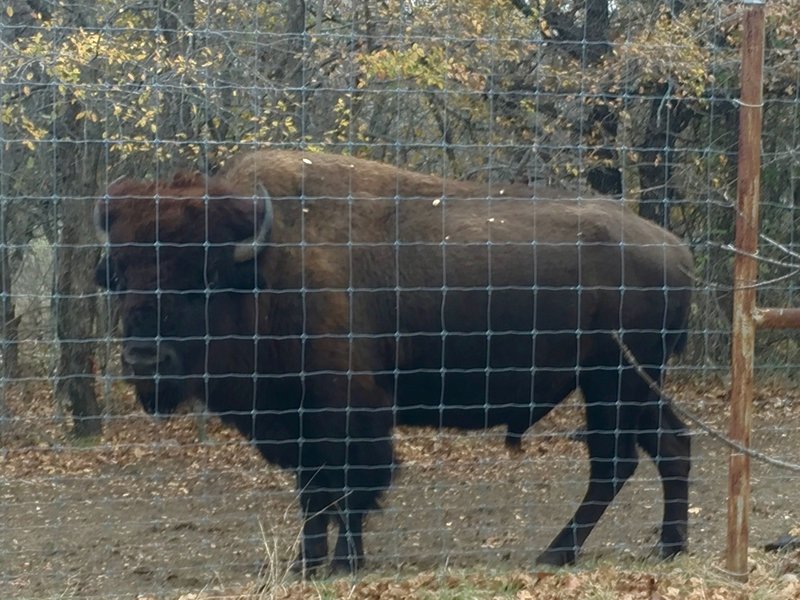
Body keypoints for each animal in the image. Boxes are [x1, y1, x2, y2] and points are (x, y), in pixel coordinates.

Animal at [94, 149, 692, 572]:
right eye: (119, 275)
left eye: (203, 278)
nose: (145, 357)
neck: (268, 267)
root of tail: (675, 250)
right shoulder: (299, 418)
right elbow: (314, 495)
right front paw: (306, 565)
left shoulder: (347, 411)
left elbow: (350, 488)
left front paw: (342, 564)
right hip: (626, 386)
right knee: (668, 447)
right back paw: (665, 546)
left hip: (615, 384)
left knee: (616, 464)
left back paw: (559, 552)